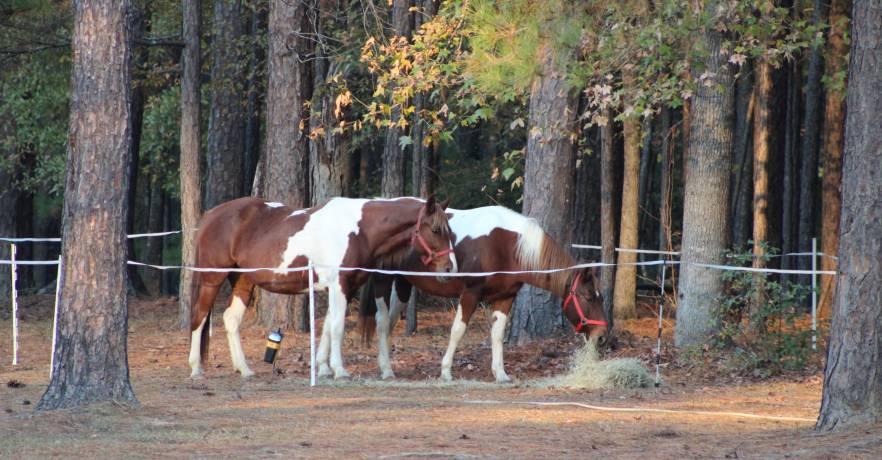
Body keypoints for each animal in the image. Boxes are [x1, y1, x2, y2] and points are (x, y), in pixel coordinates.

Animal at [188, 196, 456, 380]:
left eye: (449, 231)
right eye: (435, 229)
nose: (449, 268)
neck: (359, 230)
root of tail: (210, 216)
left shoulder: (342, 288)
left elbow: (327, 327)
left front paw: (324, 369)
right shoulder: (339, 286)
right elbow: (337, 328)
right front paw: (339, 370)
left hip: (243, 280)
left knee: (230, 319)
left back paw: (244, 369)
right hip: (212, 278)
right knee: (199, 316)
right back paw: (196, 368)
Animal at [356, 205, 607, 382]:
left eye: (600, 296)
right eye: (588, 297)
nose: (603, 336)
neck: (505, 244)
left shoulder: (505, 298)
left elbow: (497, 334)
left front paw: (500, 374)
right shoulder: (470, 294)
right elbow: (458, 331)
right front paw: (446, 372)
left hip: (403, 284)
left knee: (390, 324)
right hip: (383, 281)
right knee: (381, 322)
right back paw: (386, 370)